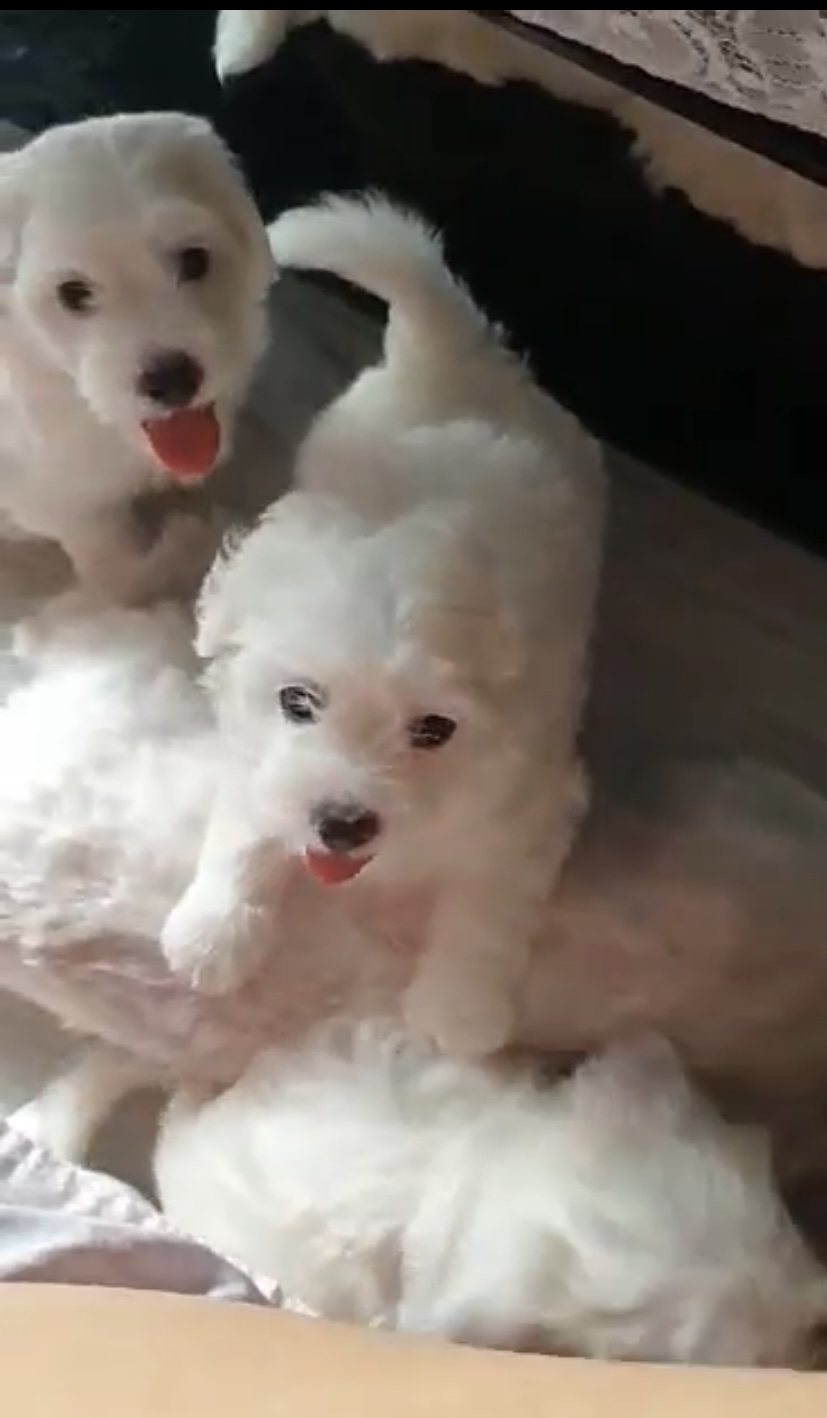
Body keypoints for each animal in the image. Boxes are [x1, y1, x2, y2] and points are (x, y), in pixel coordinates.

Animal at [0, 112, 273, 605]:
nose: (172, 379)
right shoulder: (54, 495)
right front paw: (186, 549)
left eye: (194, 259)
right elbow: (116, 568)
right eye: (73, 293)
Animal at [159, 194, 605, 1059]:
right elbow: (252, 813)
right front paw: (213, 933)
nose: (341, 824)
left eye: (433, 729)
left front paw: (457, 1010)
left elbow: (488, 906)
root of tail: (450, 349)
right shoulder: (260, 747)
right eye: (297, 701)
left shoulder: (530, 802)